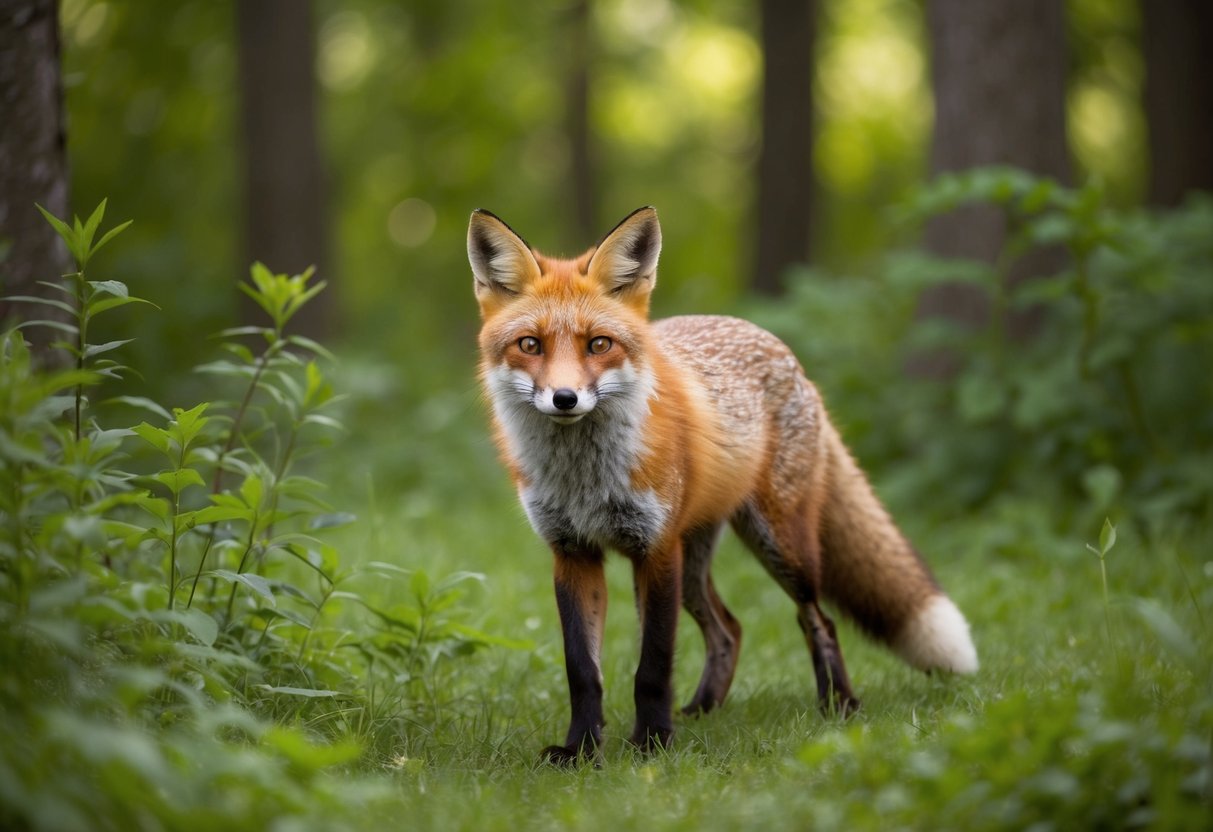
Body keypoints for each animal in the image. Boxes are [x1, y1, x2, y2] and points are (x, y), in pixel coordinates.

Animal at [467, 206, 978, 765]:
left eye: (598, 344)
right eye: (530, 345)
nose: (564, 398)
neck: (586, 479)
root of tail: (775, 343)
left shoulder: (656, 549)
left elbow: (653, 665)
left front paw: (652, 745)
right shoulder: (573, 553)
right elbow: (583, 671)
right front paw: (581, 751)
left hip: (779, 547)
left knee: (817, 619)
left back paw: (838, 705)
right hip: (692, 567)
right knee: (729, 628)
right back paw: (704, 710)